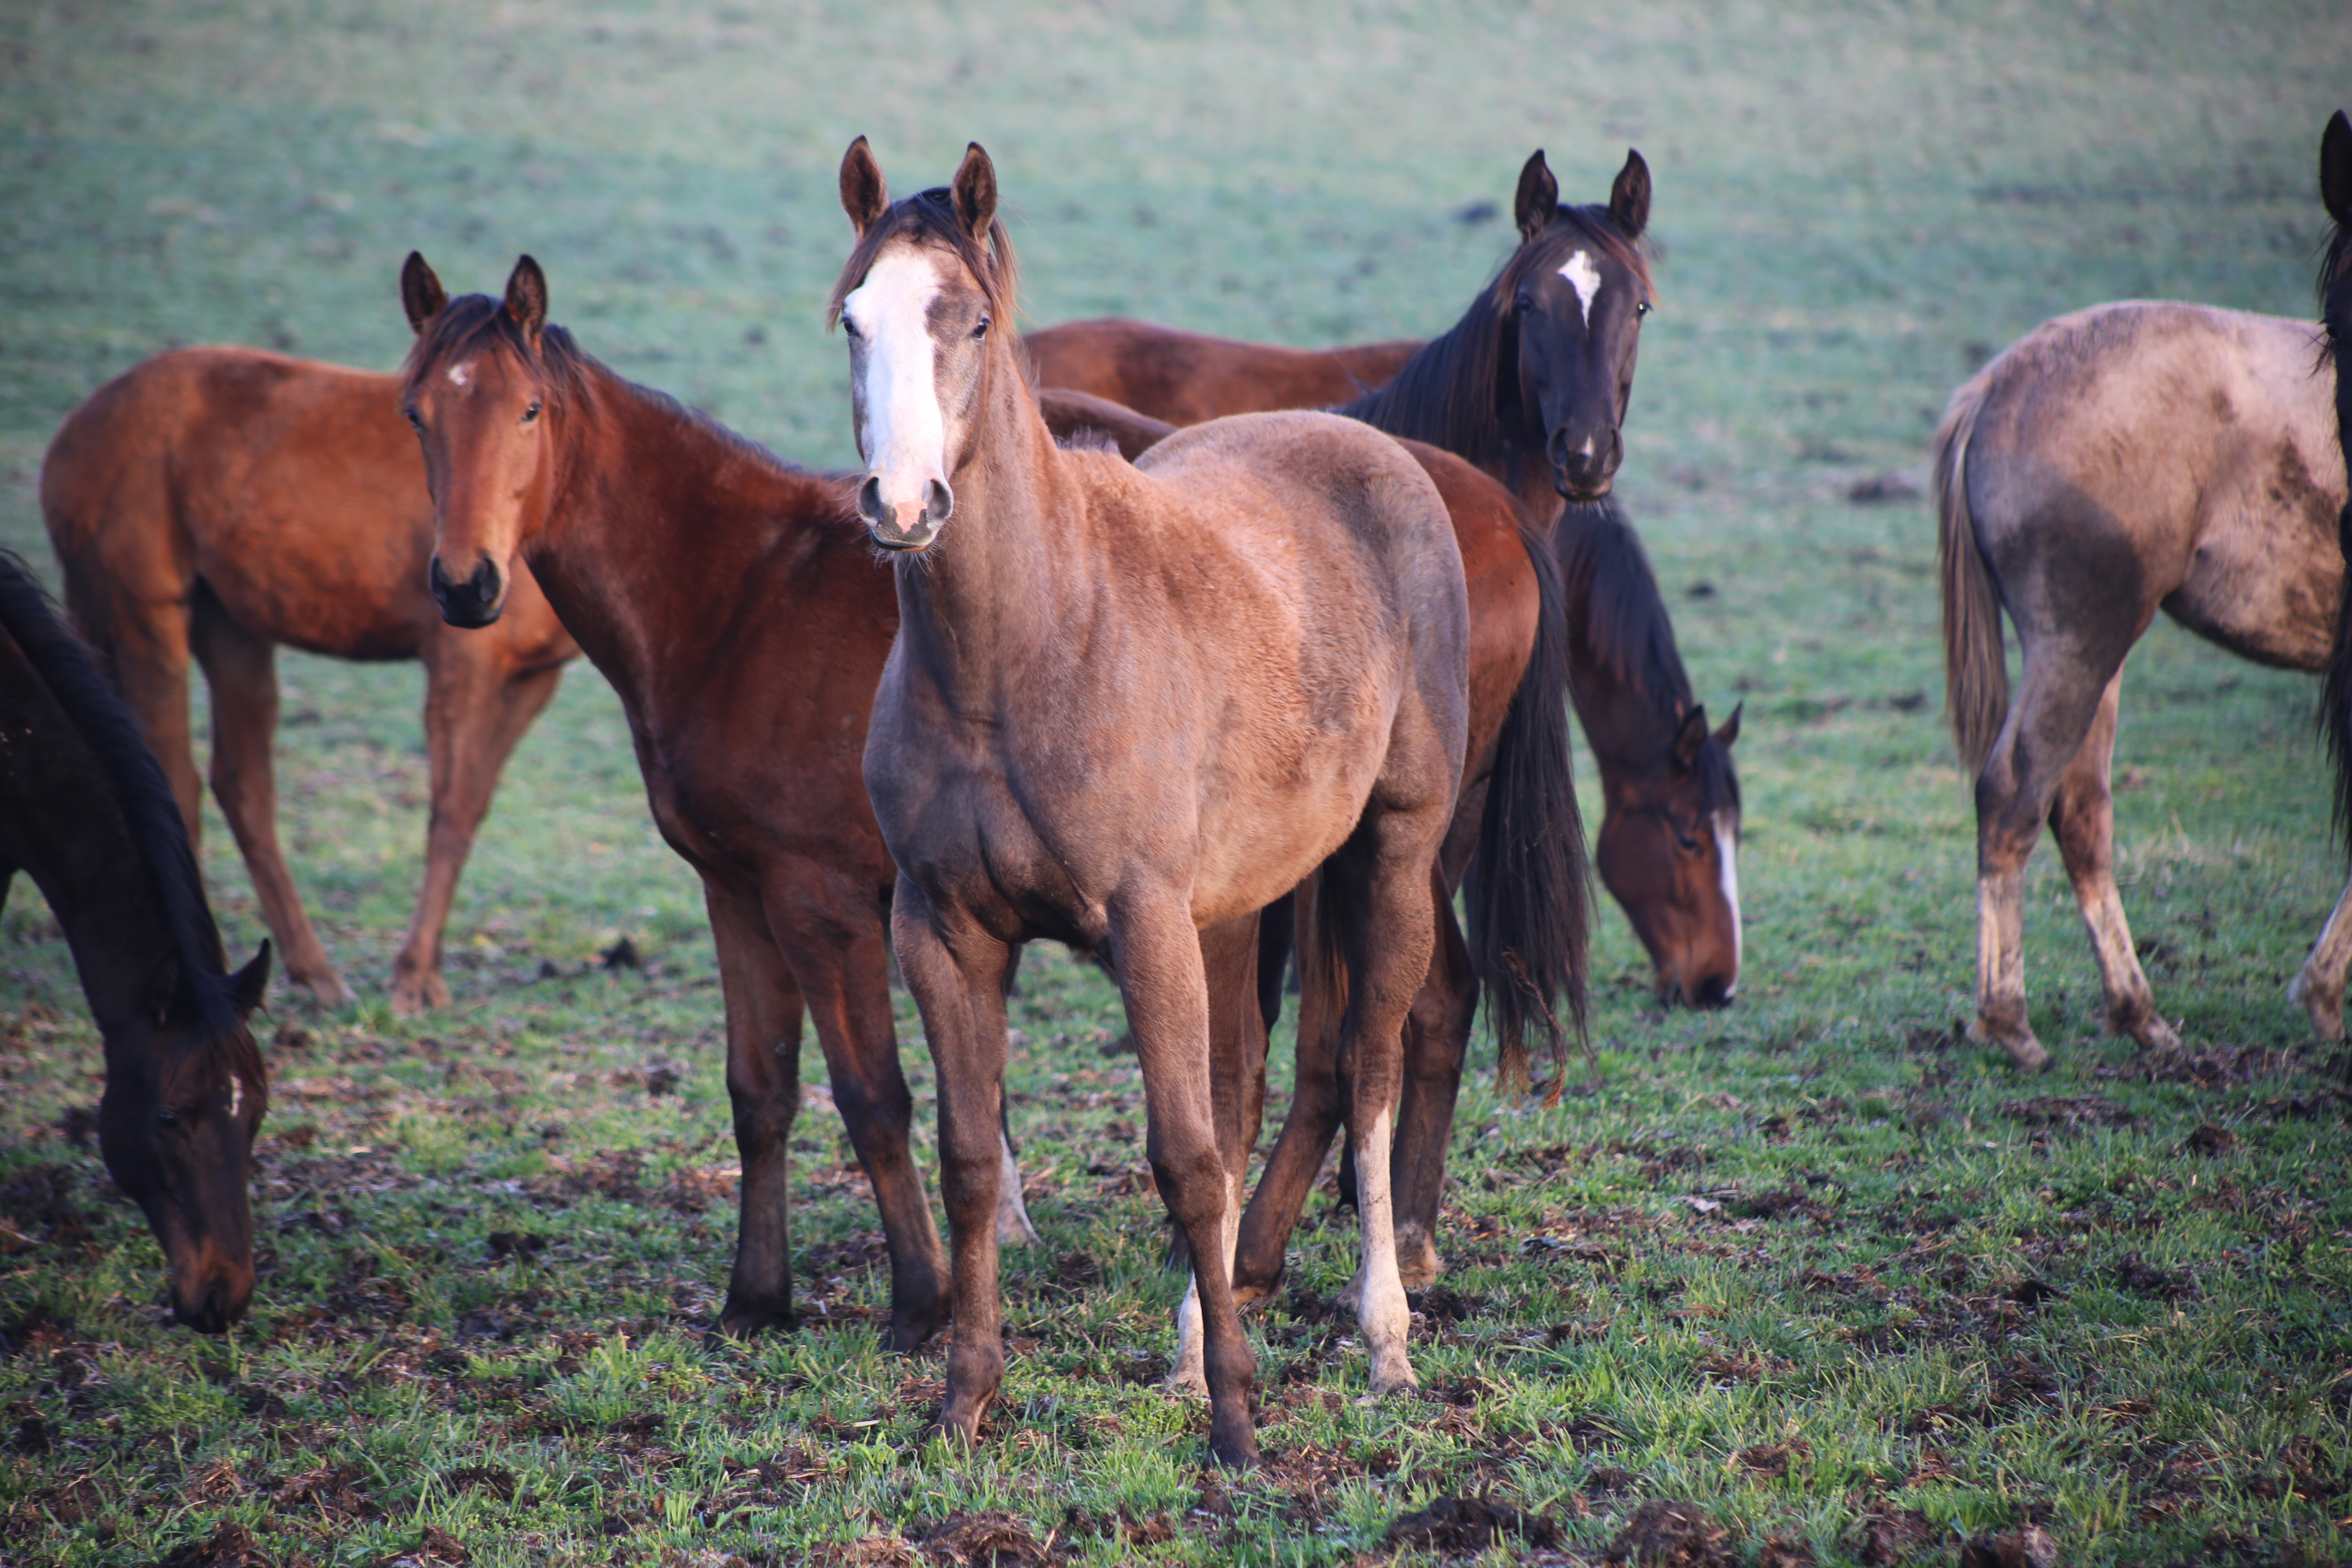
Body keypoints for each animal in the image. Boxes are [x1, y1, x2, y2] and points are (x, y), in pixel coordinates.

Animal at [1938, 290, 2342, 1072]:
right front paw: (2323, 997)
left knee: (2079, 809)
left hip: (2099, 655)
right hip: (2080, 643)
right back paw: (2009, 1023)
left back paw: (2139, 1016)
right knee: (2016, 794)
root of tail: (1996, 386)